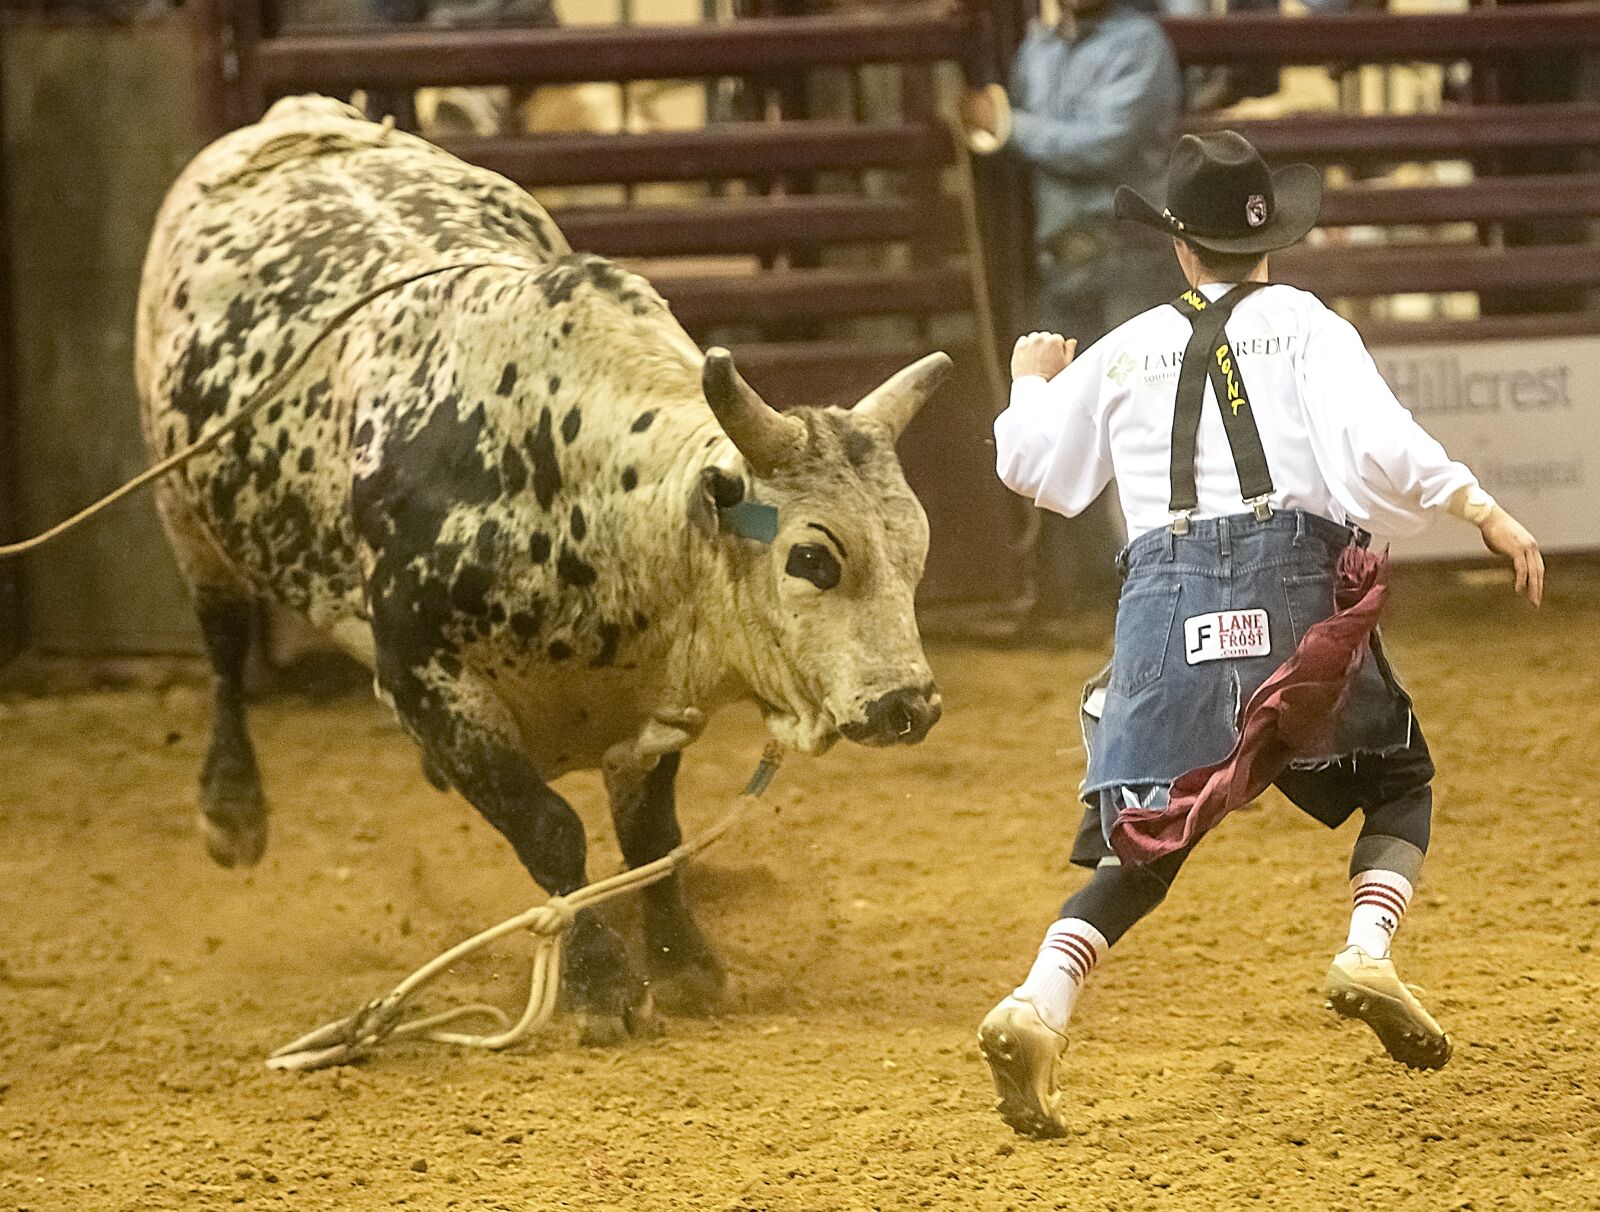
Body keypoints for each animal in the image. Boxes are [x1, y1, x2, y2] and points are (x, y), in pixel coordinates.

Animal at [137, 97, 947, 1042]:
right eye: (812, 556)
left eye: (916, 549)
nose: (908, 705)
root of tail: (292, 119)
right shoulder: (425, 682)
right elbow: (551, 829)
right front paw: (603, 986)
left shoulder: (650, 695)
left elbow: (650, 834)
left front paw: (682, 962)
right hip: (185, 514)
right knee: (226, 648)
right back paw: (232, 812)